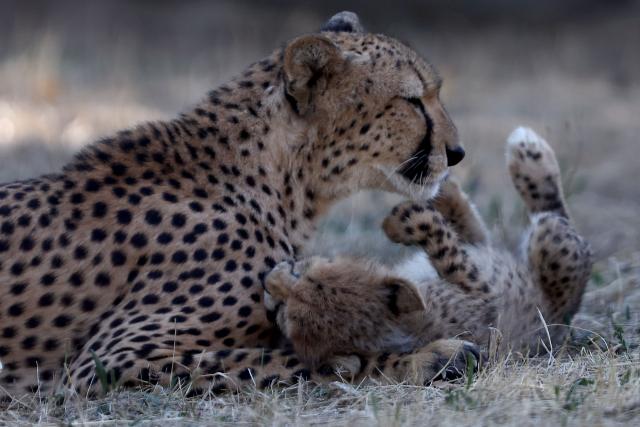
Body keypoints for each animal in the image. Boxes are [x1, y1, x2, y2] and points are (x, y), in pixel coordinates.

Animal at [0, 11, 478, 397]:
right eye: (411, 101)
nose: (457, 153)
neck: (281, 180)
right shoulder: (105, 363)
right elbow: (290, 361)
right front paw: (426, 356)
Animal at [265, 127, 593, 373]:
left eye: (300, 272)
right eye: (284, 314)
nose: (268, 281)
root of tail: (563, 319)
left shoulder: (480, 291)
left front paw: (404, 217)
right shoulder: (483, 295)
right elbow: (447, 247)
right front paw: (404, 221)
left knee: (490, 229)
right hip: (551, 243)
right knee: (554, 218)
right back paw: (527, 156)